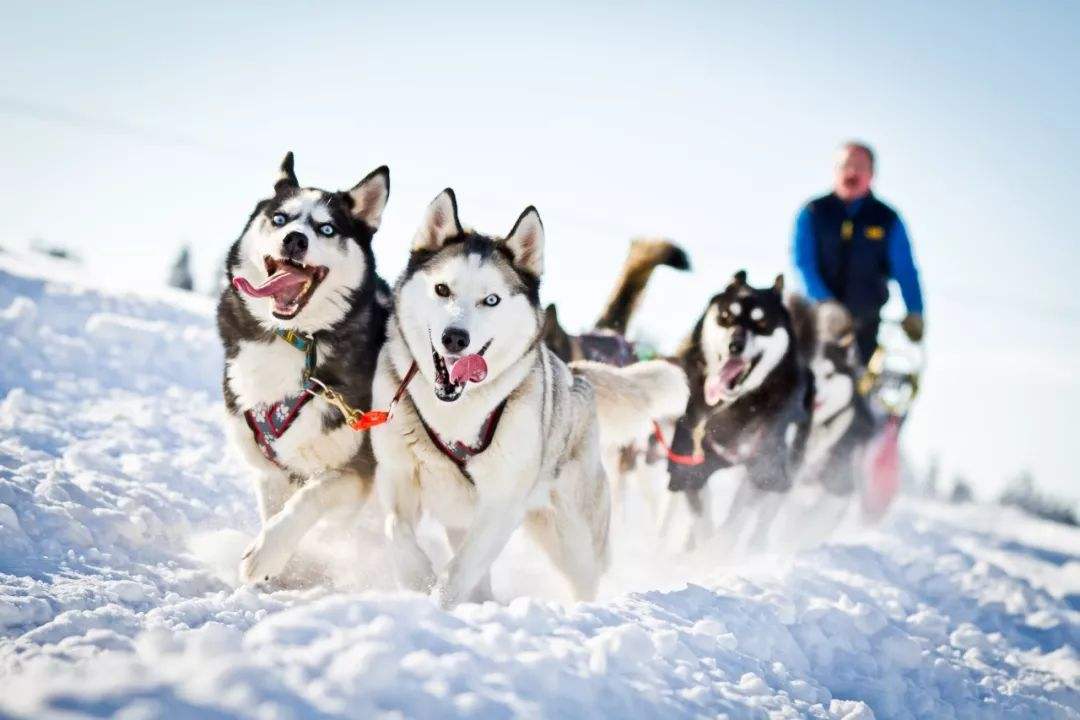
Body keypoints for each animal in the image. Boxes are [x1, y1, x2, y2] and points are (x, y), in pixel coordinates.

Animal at [217, 153, 390, 587]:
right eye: (280, 219)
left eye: (327, 228)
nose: (295, 239)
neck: (296, 339)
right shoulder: (268, 468)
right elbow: (275, 509)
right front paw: (281, 570)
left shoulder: (354, 470)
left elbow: (307, 501)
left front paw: (268, 554)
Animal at [375, 189, 686, 608]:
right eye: (442, 289)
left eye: (491, 300)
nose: (455, 338)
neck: (454, 413)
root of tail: (574, 373)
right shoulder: (398, 478)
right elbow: (397, 532)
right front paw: (418, 581)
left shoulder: (500, 505)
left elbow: (459, 570)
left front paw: (437, 602)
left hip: (573, 537)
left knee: (584, 578)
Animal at [660, 273, 812, 548]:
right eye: (726, 316)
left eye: (761, 321)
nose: (735, 345)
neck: (737, 406)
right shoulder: (689, 465)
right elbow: (702, 520)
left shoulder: (764, 469)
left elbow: (733, 525)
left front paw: (719, 550)